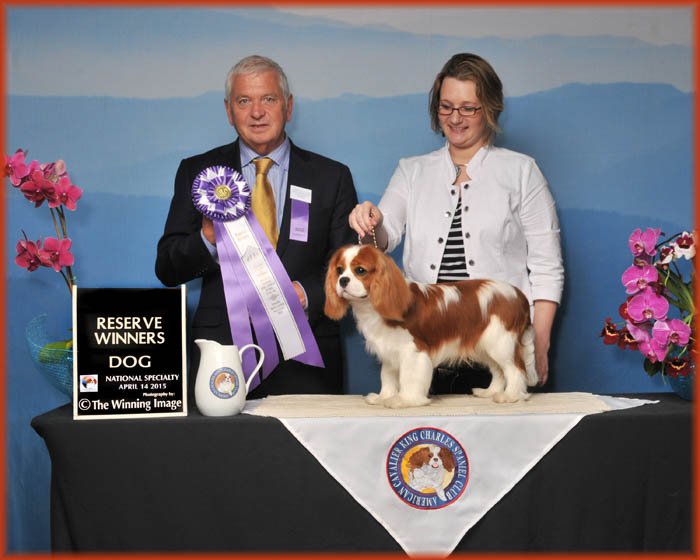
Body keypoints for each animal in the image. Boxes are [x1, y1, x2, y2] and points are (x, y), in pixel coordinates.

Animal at [322, 245, 536, 406]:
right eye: (339, 270)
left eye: (360, 271)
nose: (342, 281)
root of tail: (518, 295)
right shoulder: (390, 350)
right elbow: (388, 376)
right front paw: (384, 397)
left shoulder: (413, 351)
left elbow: (409, 377)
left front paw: (404, 400)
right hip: (485, 345)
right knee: (498, 370)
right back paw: (490, 392)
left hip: (501, 343)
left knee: (515, 368)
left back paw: (511, 396)